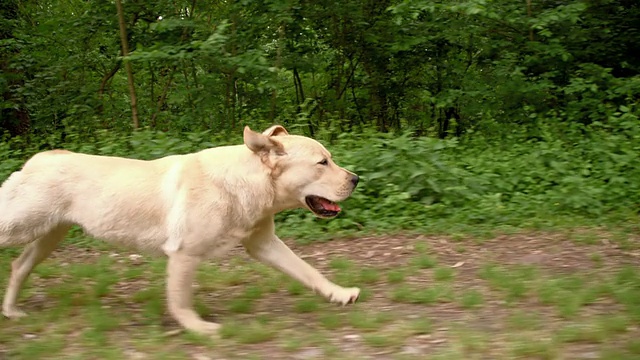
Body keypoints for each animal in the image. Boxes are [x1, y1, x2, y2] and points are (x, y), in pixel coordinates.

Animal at [0, 126, 360, 334]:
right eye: (322, 163)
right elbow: (181, 300)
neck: (244, 185)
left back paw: (11, 311)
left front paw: (340, 293)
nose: (356, 178)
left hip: (50, 235)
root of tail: (36, 159)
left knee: (19, 266)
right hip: (21, 225)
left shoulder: (264, 244)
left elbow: (308, 271)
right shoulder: (184, 254)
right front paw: (199, 328)